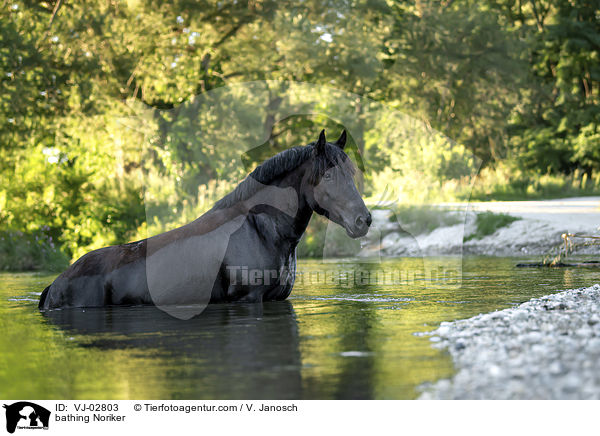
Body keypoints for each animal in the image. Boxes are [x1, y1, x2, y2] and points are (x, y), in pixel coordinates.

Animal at [38, 131, 370, 318]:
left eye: (350, 173)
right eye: (328, 175)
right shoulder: (249, 300)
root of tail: (56, 283)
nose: (363, 220)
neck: (260, 229)